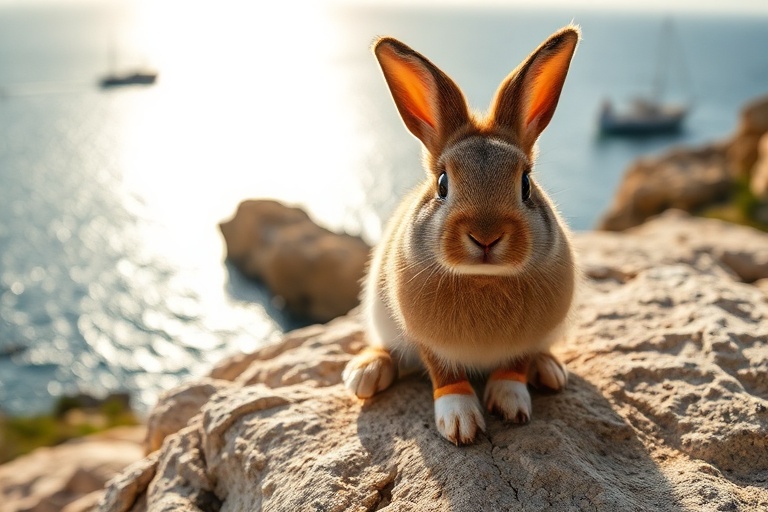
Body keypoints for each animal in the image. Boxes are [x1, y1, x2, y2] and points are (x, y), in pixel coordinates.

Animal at [343, 25, 580, 445]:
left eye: (525, 184)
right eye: (442, 184)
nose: (486, 237)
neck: (483, 279)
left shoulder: (529, 337)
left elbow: (515, 365)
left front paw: (511, 405)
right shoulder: (427, 341)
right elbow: (445, 374)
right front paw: (460, 423)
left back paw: (550, 370)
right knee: (386, 350)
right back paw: (366, 374)